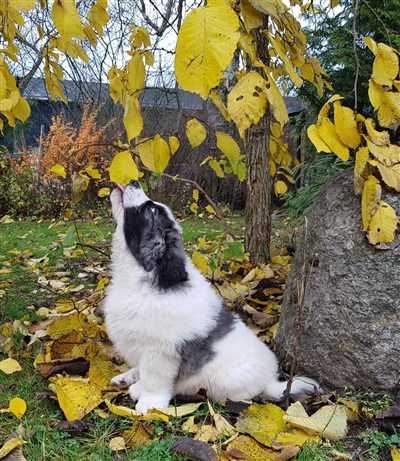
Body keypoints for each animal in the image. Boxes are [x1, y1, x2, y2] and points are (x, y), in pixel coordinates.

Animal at [104, 180, 318, 414]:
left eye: (151, 210)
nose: (134, 182)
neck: (139, 275)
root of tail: (270, 382)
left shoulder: (160, 352)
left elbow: (153, 380)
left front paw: (149, 405)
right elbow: (143, 370)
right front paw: (136, 382)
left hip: (227, 381)